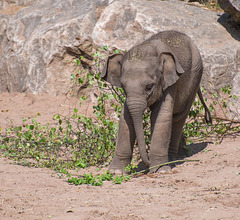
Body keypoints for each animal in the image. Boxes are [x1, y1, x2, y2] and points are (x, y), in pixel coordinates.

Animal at [100, 30, 211, 174]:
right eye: (123, 87)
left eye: (149, 87)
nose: (148, 165)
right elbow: (126, 119)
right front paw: (116, 172)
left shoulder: (169, 84)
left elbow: (161, 116)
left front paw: (161, 170)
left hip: (195, 76)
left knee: (178, 117)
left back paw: (172, 160)